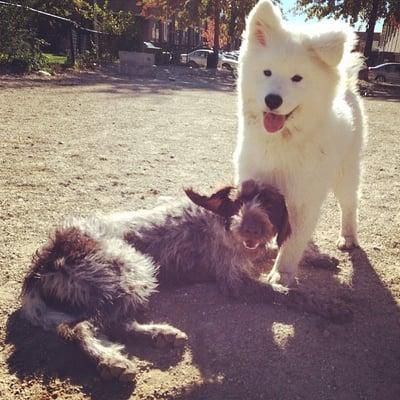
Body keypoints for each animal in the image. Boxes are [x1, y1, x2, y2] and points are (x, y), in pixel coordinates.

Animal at [20, 180, 352, 382]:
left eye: (269, 205)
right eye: (236, 204)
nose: (251, 229)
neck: (221, 223)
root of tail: (48, 255)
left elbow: (277, 251)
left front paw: (321, 258)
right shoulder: (234, 281)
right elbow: (285, 292)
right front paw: (328, 305)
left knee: (111, 323)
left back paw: (159, 336)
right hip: (132, 267)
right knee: (84, 327)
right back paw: (112, 361)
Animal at [233, 0, 368, 288]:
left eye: (297, 78)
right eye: (267, 72)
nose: (272, 100)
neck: (282, 141)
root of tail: (347, 88)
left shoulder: (302, 198)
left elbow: (293, 241)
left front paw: (281, 274)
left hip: (346, 172)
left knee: (350, 203)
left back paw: (348, 236)